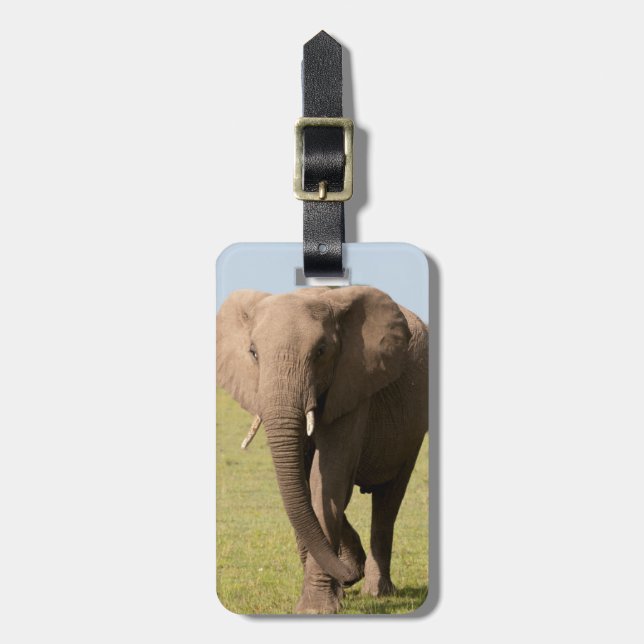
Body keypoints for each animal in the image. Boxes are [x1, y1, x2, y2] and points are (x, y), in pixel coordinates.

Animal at [216, 285, 428, 614]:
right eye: (253, 353)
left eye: (321, 352)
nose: (350, 576)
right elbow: (305, 484)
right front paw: (339, 586)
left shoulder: (355, 380)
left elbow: (328, 478)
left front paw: (316, 608)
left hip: (414, 427)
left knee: (389, 498)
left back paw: (377, 591)